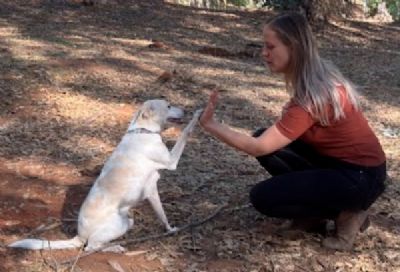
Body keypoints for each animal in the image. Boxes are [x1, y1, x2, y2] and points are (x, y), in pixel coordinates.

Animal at [9, 99, 202, 251]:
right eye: (168, 106)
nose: (186, 110)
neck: (142, 130)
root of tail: (79, 235)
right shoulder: (169, 166)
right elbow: (186, 132)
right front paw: (197, 115)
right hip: (116, 226)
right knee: (91, 247)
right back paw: (114, 248)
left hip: (127, 221)